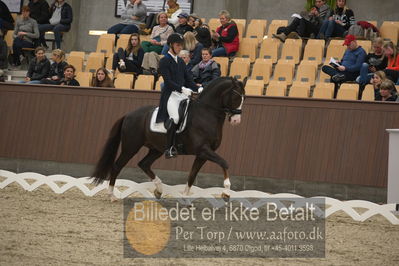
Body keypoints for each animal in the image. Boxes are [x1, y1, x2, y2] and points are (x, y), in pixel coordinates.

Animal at [92, 78, 245, 201]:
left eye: (244, 98)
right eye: (236, 97)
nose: (236, 121)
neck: (206, 114)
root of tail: (128, 115)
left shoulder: (203, 154)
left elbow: (192, 175)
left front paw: (185, 198)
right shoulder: (203, 150)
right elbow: (224, 163)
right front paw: (226, 193)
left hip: (156, 149)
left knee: (144, 164)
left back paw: (159, 190)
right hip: (131, 146)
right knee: (117, 166)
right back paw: (111, 196)